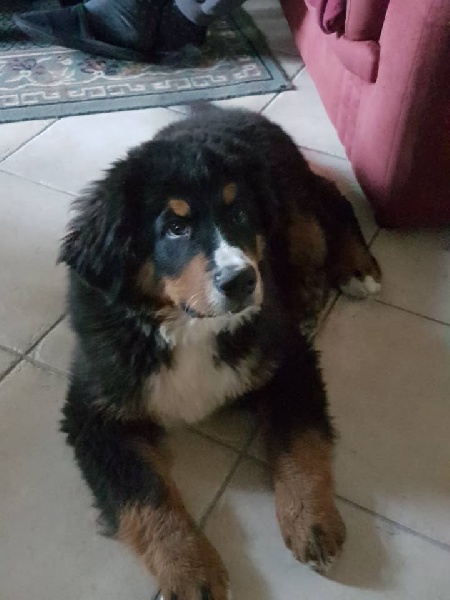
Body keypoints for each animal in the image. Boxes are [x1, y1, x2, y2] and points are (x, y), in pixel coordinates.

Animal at [59, 105, 381, 600]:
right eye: (175, 228)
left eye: (241, 213)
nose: (242, 281)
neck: (189, 328)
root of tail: (230, 110)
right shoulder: (93, 412)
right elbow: (146, 493)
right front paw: (190, 569)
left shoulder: (289, 361)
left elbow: (301, 444)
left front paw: (312, 521)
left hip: (294, 209)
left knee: (332, 200)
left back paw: (356, 268)